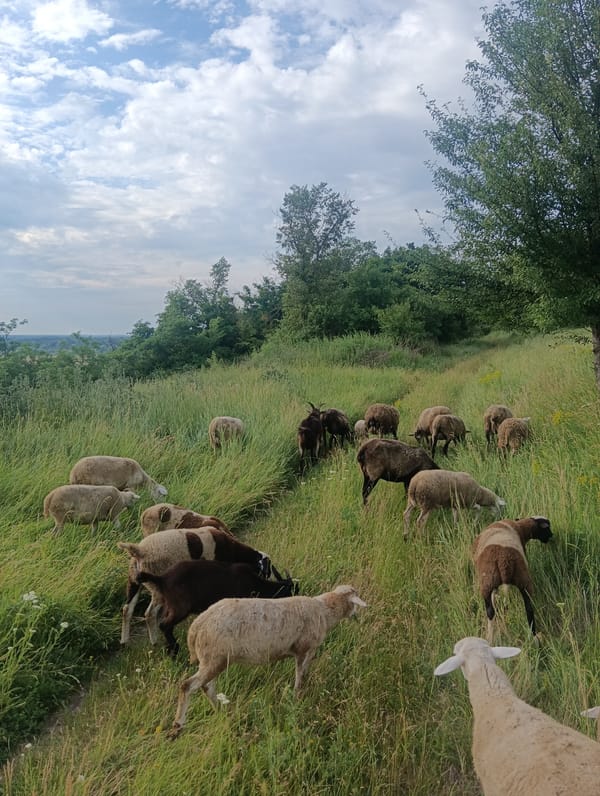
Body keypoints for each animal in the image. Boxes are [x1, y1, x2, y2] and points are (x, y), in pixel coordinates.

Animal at [117, 527, 272, 645]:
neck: (234, 550)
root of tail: (138, 550)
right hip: (156, 585)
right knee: (150, 614)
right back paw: (154, 642)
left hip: (134, 581)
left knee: (127, 609)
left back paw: (124, 641)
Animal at [137, 559, 298, 655]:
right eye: (292, 592)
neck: (256, 583)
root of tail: (162, 579)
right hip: (180, 607)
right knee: (165, 625)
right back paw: (175, 651)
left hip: (170, 606)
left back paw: (170, 651)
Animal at [168, 584, 367, 737]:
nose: (357, 617)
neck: (324, 611)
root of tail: (197, 626)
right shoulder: (304, 650)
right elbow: (300, 677)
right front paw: (297, 699)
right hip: (215, 658)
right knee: (188, 686)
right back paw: (178, 726)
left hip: (213, 659)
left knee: (206, 687)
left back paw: (221, 710)